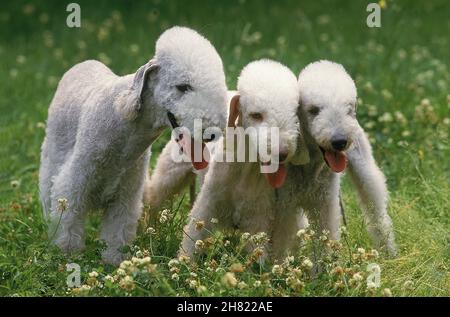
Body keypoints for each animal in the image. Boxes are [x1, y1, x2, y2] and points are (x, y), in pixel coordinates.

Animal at [38, 26, 229, 264]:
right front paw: (67, 257)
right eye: (183, 87)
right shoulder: (75, 184)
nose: (213, 131)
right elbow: (69, 226)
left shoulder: (126, 196)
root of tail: (82, 64)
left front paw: (113, 263)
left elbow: (117, 233)